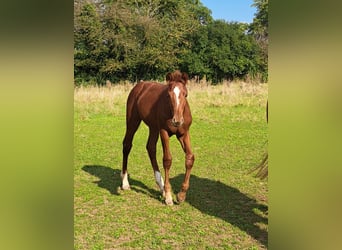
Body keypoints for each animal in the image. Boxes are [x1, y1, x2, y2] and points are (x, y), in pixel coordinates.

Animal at [121, 70, 194, 205]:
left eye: (185, 94)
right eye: (168, 95)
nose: (176, 121)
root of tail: (139, 86)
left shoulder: (184, 133)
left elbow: (190, 158)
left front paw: (181, 195)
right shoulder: (163, 132)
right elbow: (167, 160)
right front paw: (169, 197)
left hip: (153, 127)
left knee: (150, 148)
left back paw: (161, 188)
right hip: (133, 121)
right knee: (127, 145)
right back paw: (125, 183)